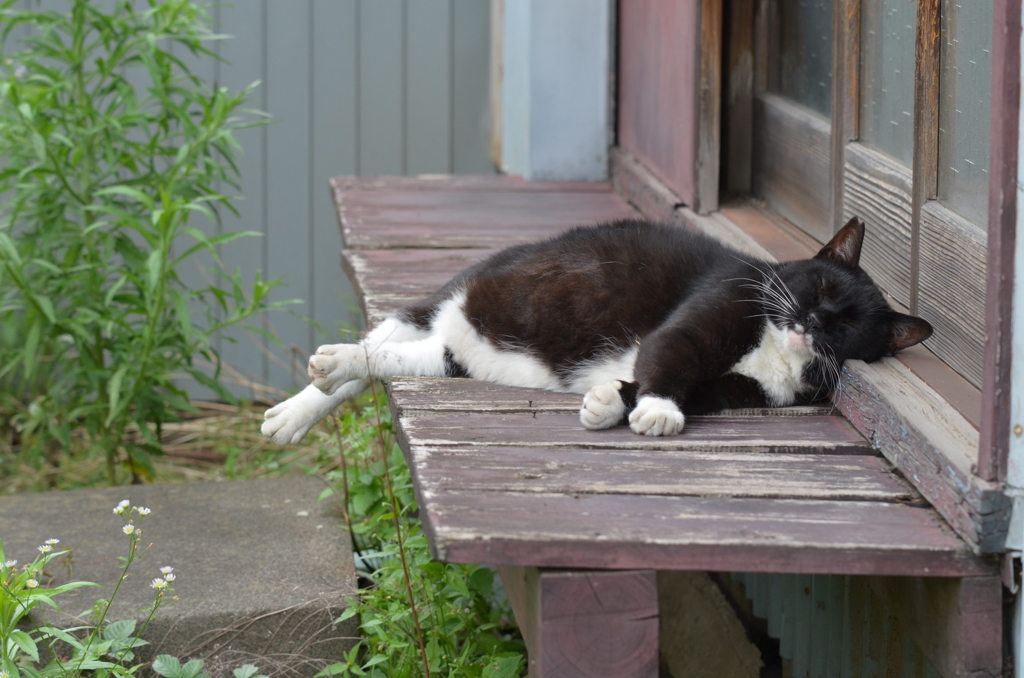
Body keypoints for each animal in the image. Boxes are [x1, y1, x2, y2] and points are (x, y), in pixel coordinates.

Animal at [260, 215, 933, 444]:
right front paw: (656, 410)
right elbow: (672, 357)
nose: (812, 321)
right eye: (819, 289)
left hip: (462, 354)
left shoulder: (750, 392)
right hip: (478, 304)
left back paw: (302, 405)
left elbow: (702, 392)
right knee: (377, 350)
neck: (774, 351)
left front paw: (611, 402)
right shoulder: (704, 315)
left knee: (405, 358)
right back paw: (321, 377)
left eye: (845, 328)